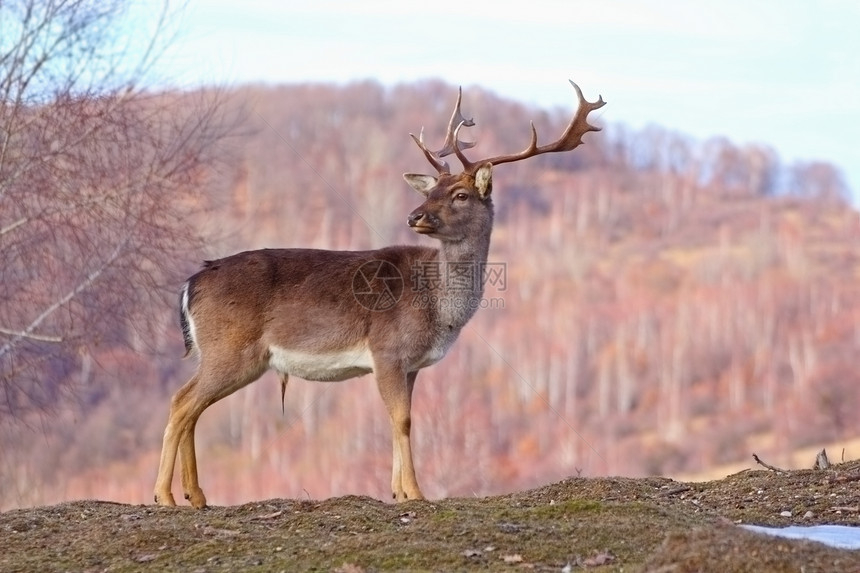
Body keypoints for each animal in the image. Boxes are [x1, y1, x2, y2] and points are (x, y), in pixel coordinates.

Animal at [155, 79, 600, 504]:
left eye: (459, 194)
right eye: (429, 192)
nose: (415, 215)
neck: (439, 309)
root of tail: (191, 284)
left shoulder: (411, 364)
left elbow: (398, 420)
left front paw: (397, 491)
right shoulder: (387, 348)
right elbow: (402, 420)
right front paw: (416, 493)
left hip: (224, 353)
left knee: (191, 407)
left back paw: (195, 495)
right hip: (232, 348)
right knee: (181, 402)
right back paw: (165, 495)